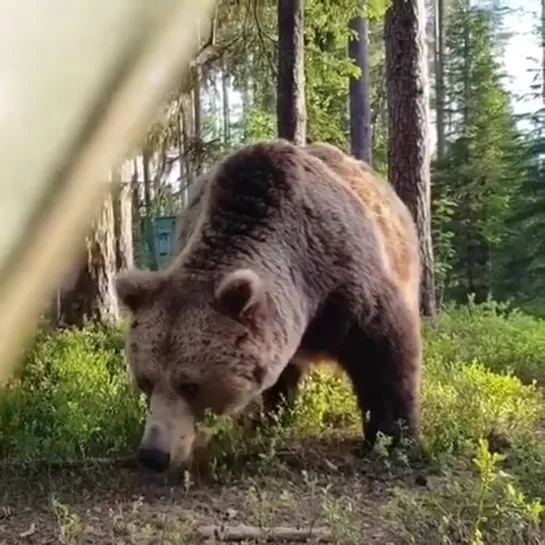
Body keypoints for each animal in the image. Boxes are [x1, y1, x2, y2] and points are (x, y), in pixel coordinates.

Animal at [113, 139, 420, 472]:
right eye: (145, 380)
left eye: (190, 385)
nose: (154, 455)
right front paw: (270, 418)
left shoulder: (347, 281)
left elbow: (384, 352)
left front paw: (393, 438)